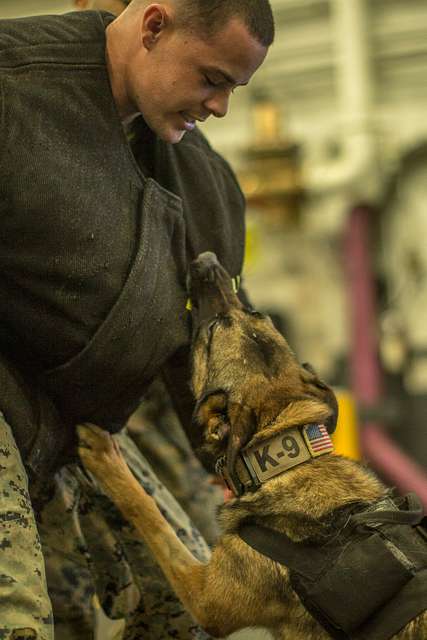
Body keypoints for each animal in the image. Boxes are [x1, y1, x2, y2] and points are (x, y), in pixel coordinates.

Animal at [77, 252, 427, 636]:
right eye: (257, 313)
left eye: (211, 332)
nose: (207, 259)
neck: (282, 457)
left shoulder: (204, 599)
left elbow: (151, 516)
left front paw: (108, 456)